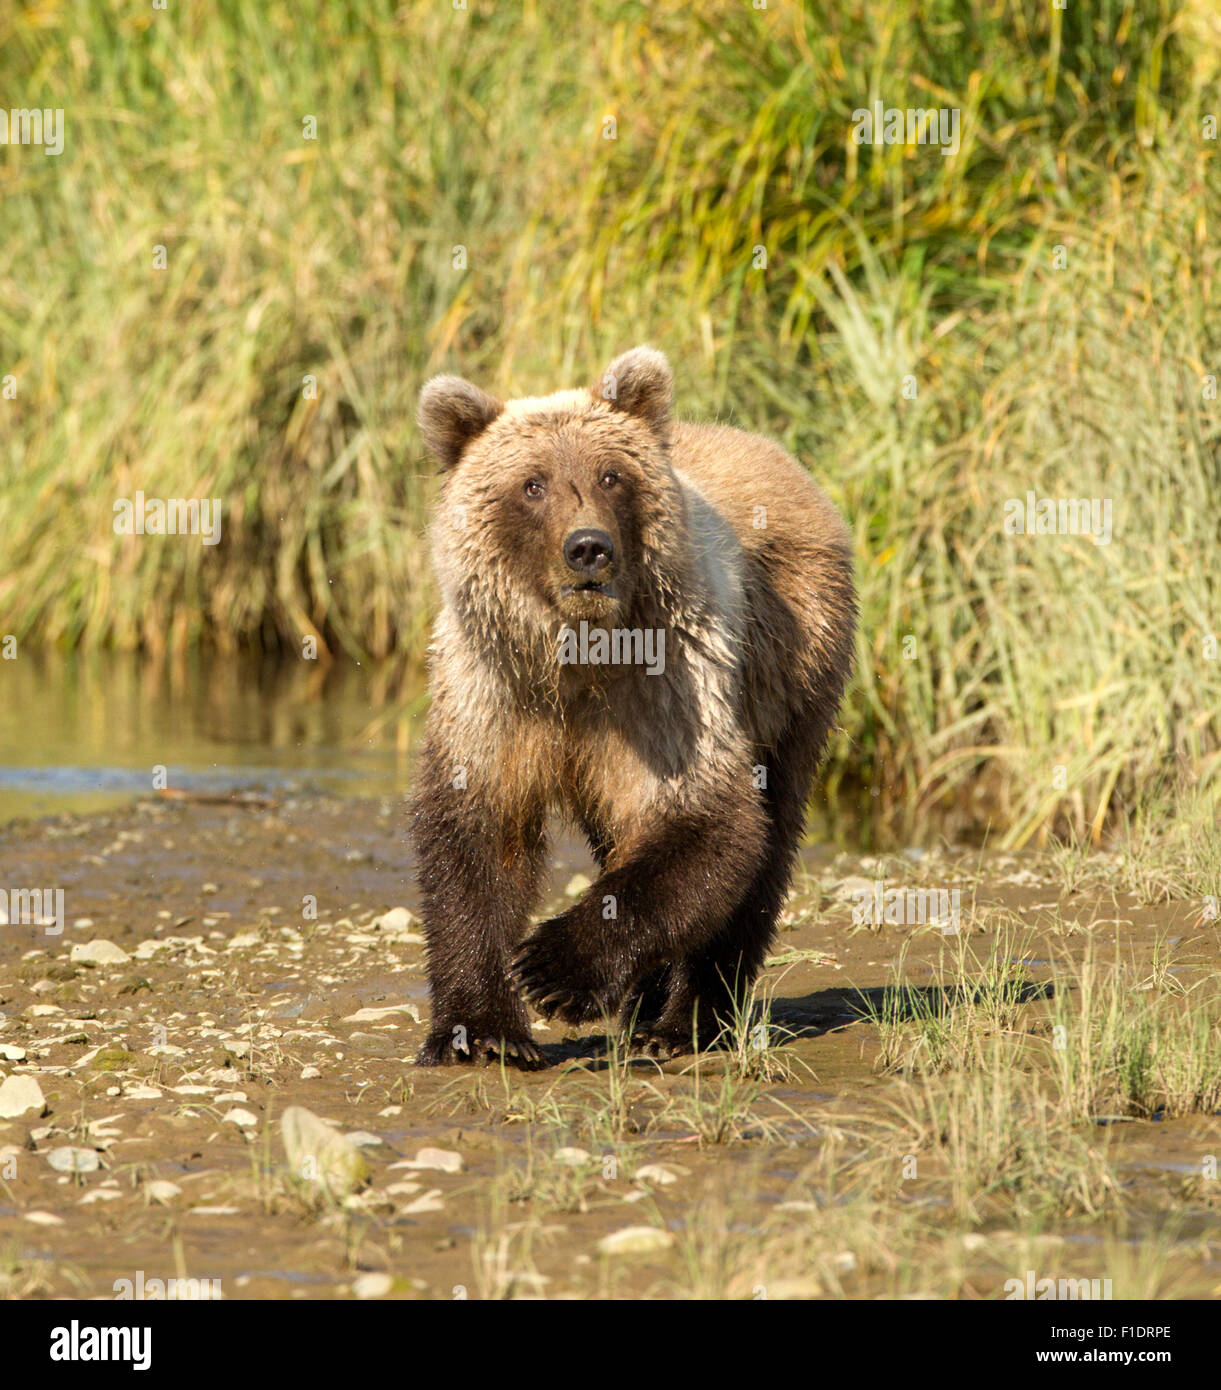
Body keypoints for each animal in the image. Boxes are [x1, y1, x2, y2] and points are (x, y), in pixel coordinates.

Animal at [411, 347, 856, 1068]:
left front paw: (553, 968)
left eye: (610, 475)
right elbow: (478, 837)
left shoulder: (667, 686)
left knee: (769, 835)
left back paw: (683, 1021)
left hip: (792, 666)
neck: (576, 659)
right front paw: (480, 1032)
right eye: (532, 484)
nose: (588, 546)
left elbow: (707, 824)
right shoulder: (494, 692)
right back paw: (645, 1002)